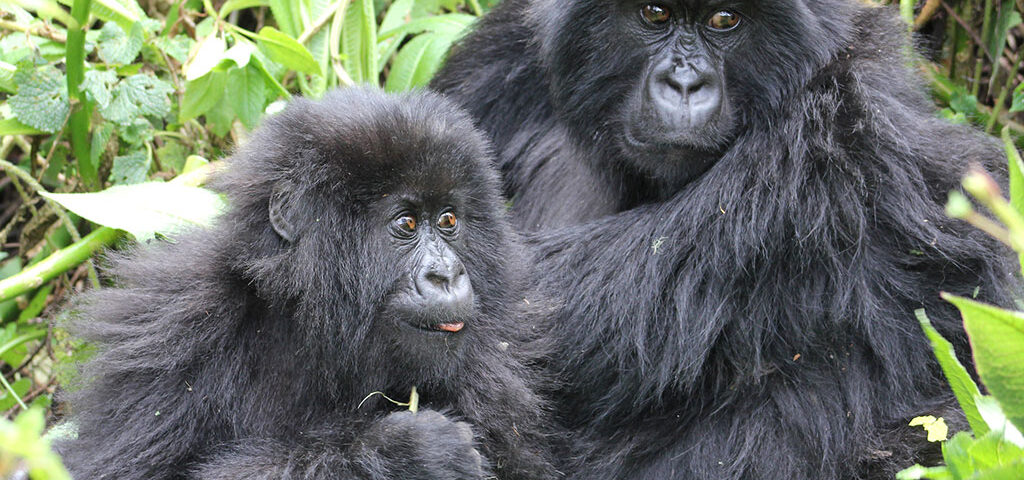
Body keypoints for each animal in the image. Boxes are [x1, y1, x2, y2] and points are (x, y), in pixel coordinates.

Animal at [58, 86, 561, 478]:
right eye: (406, 223)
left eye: (449, 220)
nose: (447, 274)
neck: (310, 320)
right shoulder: (170, 328)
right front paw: (405, 455)